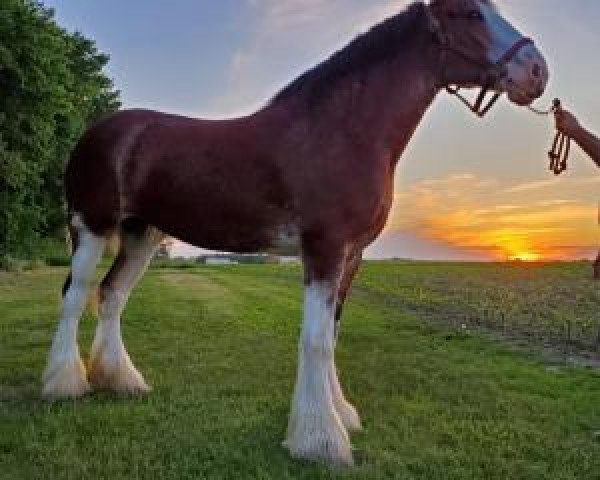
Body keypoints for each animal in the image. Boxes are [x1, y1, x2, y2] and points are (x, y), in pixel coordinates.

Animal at [42, 0, 548, 466]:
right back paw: (65, 384)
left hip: (141, 234)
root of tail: (99, 132)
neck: (340, 132)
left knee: (112, 294)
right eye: (469, 13)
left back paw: (121, 381)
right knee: (76, 293)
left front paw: (341, 414)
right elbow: (316, 340)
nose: (537, 71)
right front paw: (320, 440)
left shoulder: (351, 255)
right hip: (91, 226)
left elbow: (333, 334)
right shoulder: (323, 248)